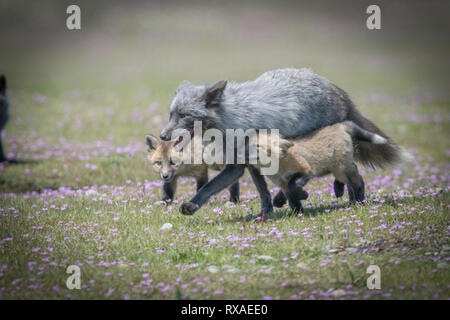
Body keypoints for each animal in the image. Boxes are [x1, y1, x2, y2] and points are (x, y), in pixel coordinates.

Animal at [159, 67, 408, 218]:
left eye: (184, 115)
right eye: (171, 114)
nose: (162, 136)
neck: (230, 119)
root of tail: (332, 85)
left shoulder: (239, 165)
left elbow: (209, 187)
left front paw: (191, 205)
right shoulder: (246, 164)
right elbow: (261, 190)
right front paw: (265, 212)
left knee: (333, 168)